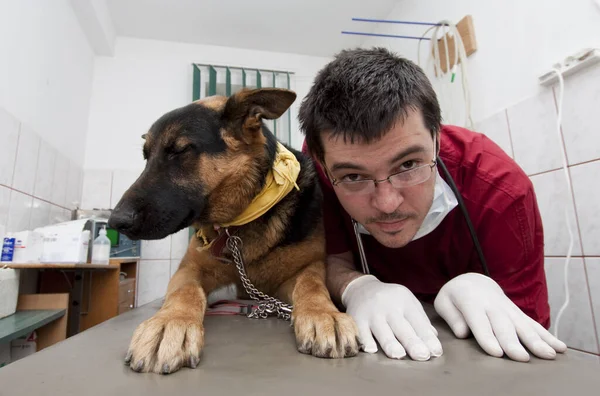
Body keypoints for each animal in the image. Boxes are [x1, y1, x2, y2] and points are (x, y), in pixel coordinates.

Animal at [108, 87, 358, 374]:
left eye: (179, 150)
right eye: (146, 157)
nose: (115, 221)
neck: (239, 222)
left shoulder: (306, 269)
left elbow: (312, 286)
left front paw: (325, 314)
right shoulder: (190, 269)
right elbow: (185, 291)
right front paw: (169, 323)